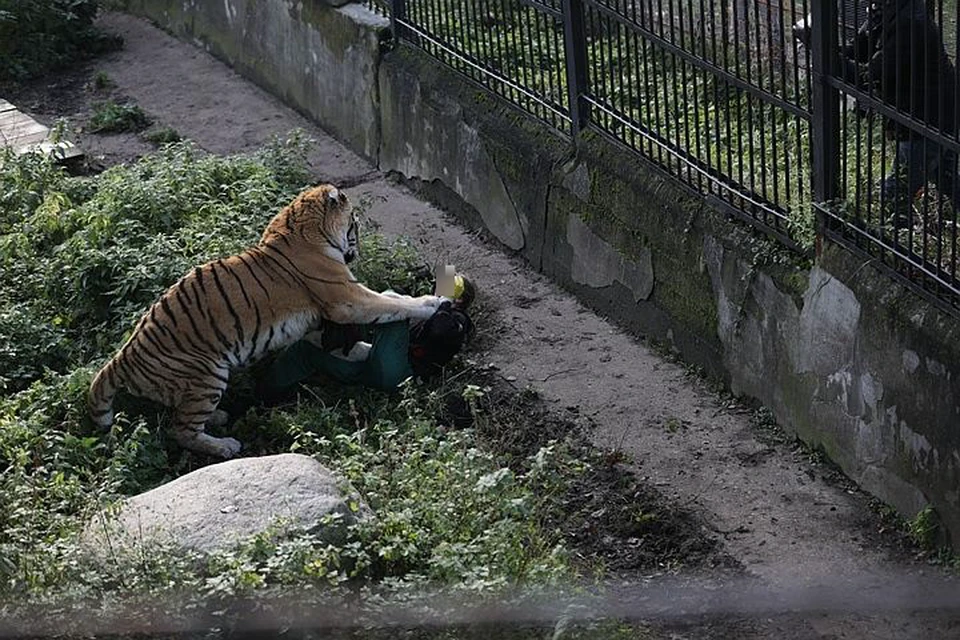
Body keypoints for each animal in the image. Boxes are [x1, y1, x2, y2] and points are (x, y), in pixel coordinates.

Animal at [88, 182, 448, 458]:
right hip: (206, 373)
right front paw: (432, 303)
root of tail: (122, 358)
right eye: (355, 224)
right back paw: (225, 445)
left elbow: (361, 321)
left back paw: (218, 417)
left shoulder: (319, 317)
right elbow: (390, 304)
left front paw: (364, 349)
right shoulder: (345, 299)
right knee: (181, 430)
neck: (301, 227)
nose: (356, 252)